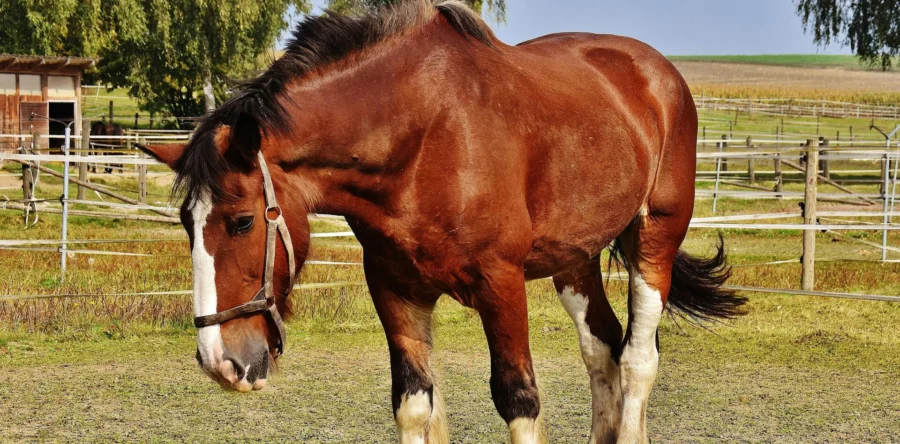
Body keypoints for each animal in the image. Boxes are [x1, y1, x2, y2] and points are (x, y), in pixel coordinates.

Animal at [139, 2, 746, 442]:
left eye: (242, 222)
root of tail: (657, 72)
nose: (219, 362)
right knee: (602, 348)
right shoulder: (395, 290)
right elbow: (413, 404)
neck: (424, 137)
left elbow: (519, 400)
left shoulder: (501, 285)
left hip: (654, 238)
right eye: (188, 225)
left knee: (638, 359)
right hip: (575, 259)